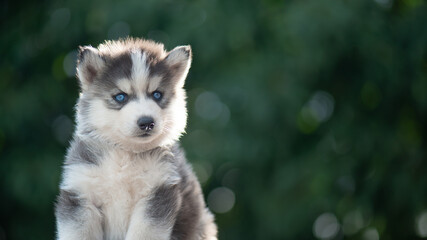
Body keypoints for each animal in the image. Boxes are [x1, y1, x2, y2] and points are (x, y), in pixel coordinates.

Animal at [54, 38, 217, 239]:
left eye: (157, 94)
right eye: (120, 97)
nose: (147, 122)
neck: (125, 153)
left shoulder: (157, 192)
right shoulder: (80, 194)